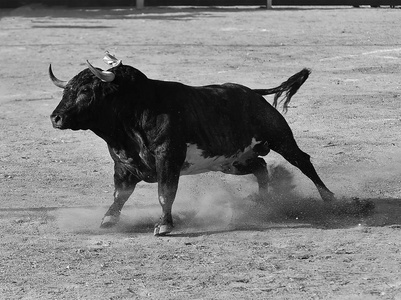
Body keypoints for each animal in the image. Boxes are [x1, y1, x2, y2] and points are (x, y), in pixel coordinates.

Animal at [51, 61, 336, 236]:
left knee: (302, 161)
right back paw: (263, 201)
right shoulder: (122, 164)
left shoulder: (168, 160)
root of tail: (252, 93)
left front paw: (164, 226)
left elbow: (165, 193)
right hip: (232, 162)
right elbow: (120, 194)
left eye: (86, 90)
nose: (55, 118)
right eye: (66, 90)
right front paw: (109, 219)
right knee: (261, 166)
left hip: (280, 138)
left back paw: (328, 197)